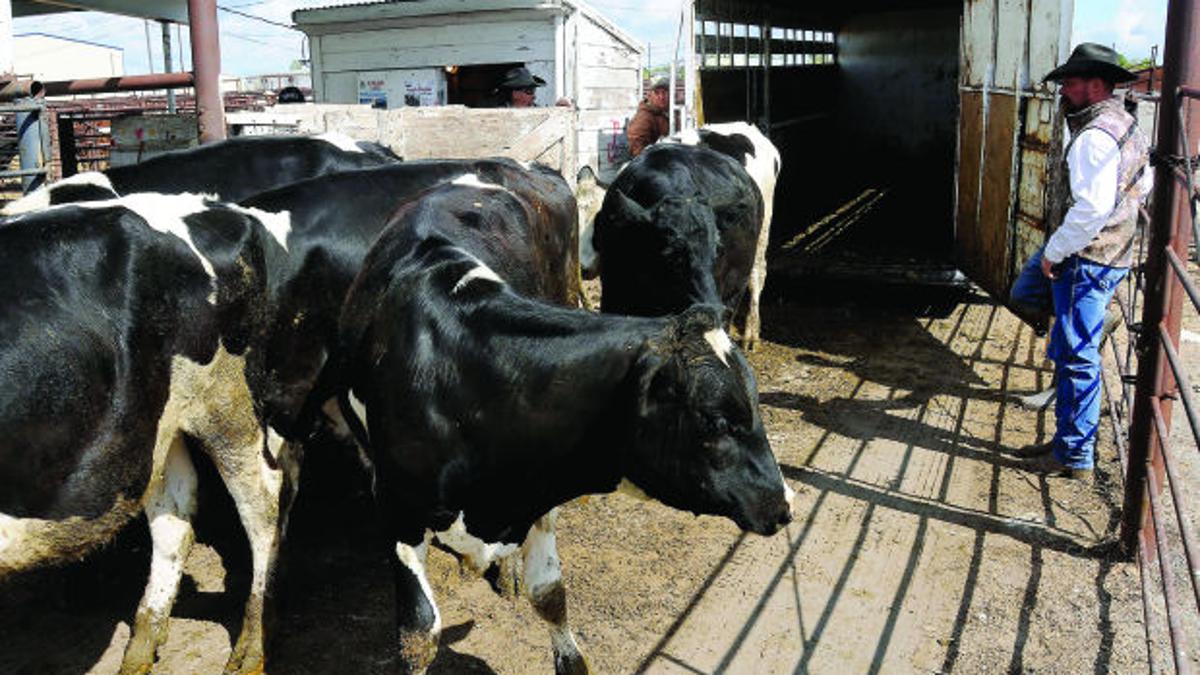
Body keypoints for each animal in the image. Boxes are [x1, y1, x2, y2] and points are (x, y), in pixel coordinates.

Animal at [0, 193, 296, 675]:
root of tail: (219, 205)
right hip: (153, 426)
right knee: (174, 514)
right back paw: (142, 645)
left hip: (226, 403)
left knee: (264, 504)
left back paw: (253, 646)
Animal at [324, 181, 795, 674]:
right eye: (716, 420)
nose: (785, 503)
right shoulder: (397, 509)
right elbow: (418, 632)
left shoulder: (540, 486)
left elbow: (550, 595)